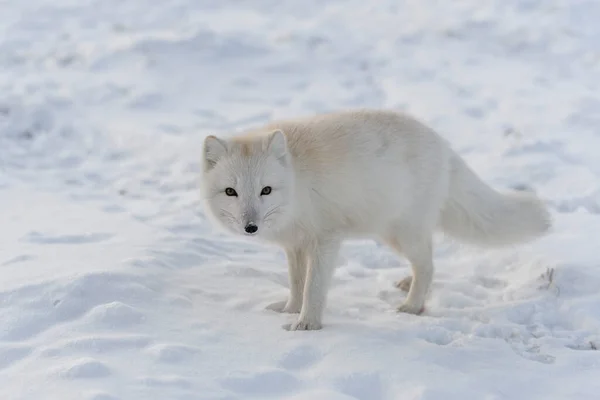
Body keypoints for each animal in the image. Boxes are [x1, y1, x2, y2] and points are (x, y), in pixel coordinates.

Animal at [203, 109, 552, 332]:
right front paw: (289, 308)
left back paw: (412, 305)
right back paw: (408, 284)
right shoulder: (295, 244)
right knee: (428, 258)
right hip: (396, 233)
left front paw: (307, 323)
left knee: (428, 265)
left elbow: (314, 287)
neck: (297, 185)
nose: (250, 227)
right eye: (231, 191)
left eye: (266, 190)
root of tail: (443, 145)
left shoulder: (325, 239)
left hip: (401, 232)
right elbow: (297, 282)